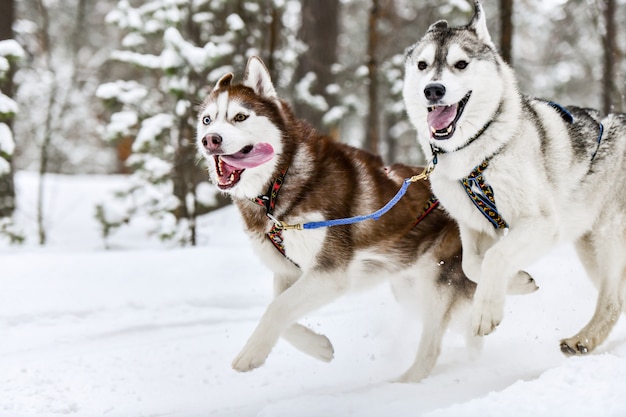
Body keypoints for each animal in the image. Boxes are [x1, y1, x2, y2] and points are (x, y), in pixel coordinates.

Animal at [195, 57, 532, 382]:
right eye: (207, 120)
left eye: (240, 117)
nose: (210, 140)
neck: (279, 185)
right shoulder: (289, 272)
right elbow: (282, 311)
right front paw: (319, 347)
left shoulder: (329, 273)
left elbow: (277, 308)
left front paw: (250, 355)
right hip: (409, 286)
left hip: (438, 283)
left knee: (436, 342)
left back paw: (404, 383)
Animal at [400, 1, 624, 356]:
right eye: (422, 65)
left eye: (460, 64)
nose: (432, 90)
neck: (477, 154)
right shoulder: (476, 229)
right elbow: (473, 265)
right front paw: (517, 281)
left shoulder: (541, 224)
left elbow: (496, 257)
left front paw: (485, 313)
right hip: (589, 247)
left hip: (608, 238)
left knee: (613, 301)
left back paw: (583, 339)